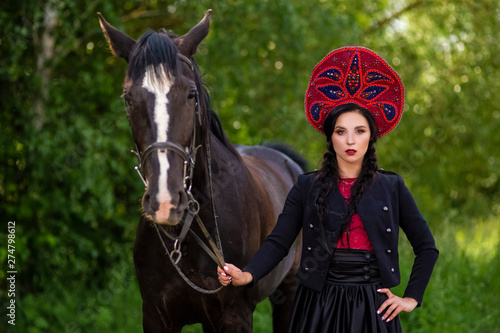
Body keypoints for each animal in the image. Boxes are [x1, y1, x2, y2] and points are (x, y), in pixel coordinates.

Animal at [99, 9, 306, 330]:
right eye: (128, 98)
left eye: (191, 94)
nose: (165, 201)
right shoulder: (156, 316)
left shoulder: (235, 315)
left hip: (290, 290)